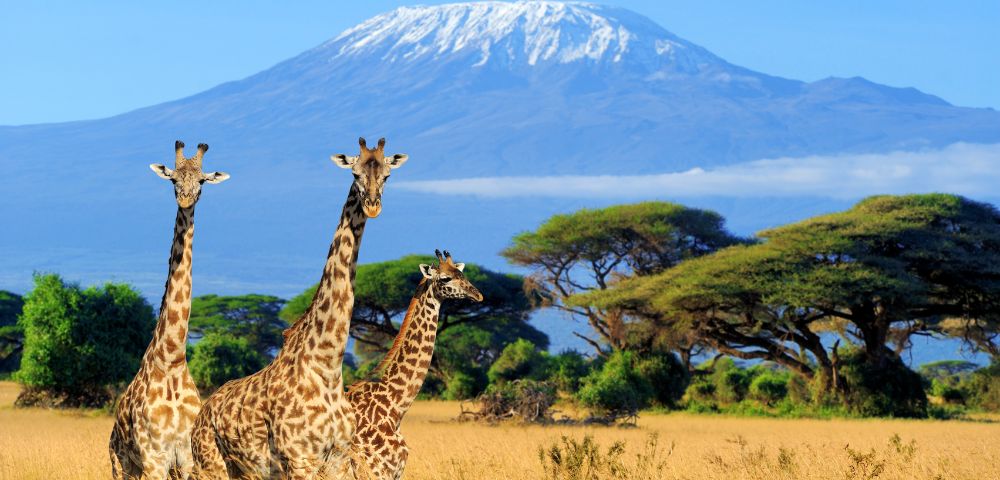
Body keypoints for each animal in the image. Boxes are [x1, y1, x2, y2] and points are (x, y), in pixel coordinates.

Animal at [110, 141, 230, 480]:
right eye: (173, 179)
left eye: (202, 180)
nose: (186, 199)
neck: (172, 359)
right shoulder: (154, 457)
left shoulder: (187, 458)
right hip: (121, 465)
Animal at [190, 137, 408, 479]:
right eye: (355, 174)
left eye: (387, 175)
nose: (373, 205)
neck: (327, 366)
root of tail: (202, 412)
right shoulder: (298, 459)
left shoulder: (337, 459)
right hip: (210, 464)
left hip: (247, 470)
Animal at [329, 250, 483, 480]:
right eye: (445, 278)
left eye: (462, 274)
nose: (478, 295)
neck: (394, 407)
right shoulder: (375, 471)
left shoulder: (395, 472)